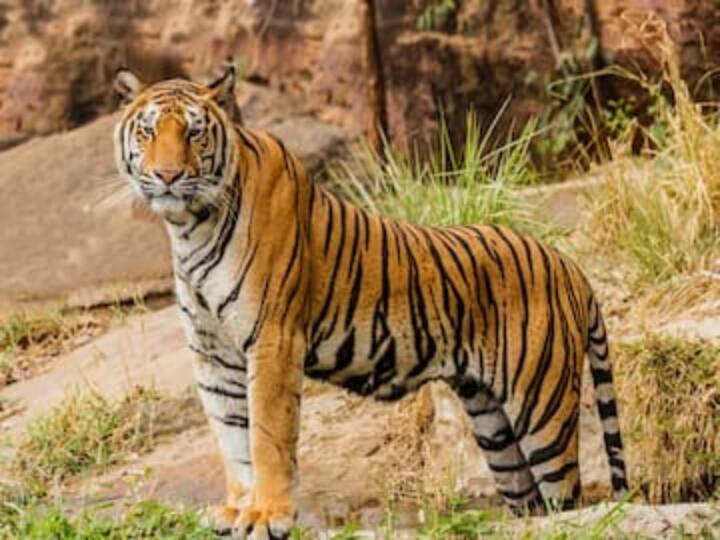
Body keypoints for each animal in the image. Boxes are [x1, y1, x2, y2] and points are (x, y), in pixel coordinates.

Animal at [113, 66, 629, 539]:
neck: (190, 227)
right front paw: (239, 510)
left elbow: (265, 436)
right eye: (149, 131)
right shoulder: (212, 354)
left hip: (542, 409)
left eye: (194, 132)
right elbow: (232, 437)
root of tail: (569, 265)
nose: (168, 175)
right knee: (532, 503)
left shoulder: (273, 339)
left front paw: (267, 515)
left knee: (567, 497)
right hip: (493, 424)